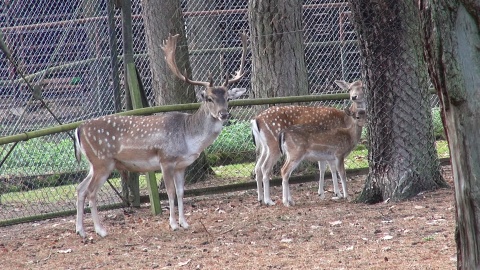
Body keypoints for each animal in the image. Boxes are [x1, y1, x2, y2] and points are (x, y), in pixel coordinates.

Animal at [75, 32, 248, 237]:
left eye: (228, 98)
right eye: (209, 98)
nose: (224, 114)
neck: (189, 137)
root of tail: (79, 129)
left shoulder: (182, 165)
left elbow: (181, 192)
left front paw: (184, 223)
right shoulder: (166, 160)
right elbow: (170, 192)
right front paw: (173, 224)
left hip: (93, 163)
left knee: (80, 188)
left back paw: (81, 231)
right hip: (102, 161)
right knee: (91, 192)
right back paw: (100, 231)